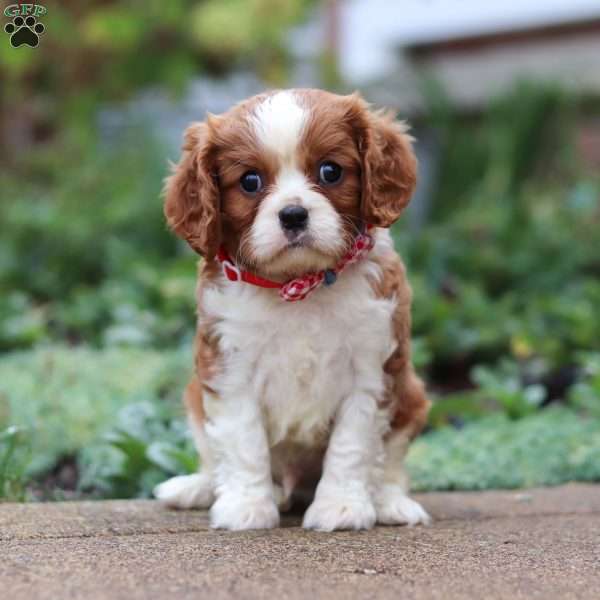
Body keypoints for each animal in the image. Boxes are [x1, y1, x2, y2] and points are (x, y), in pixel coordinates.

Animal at [152, 89, 428, 528]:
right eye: (250, 181)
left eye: (331, 171)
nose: (294, 214)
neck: (298, 284)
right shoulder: (230, 369)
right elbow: (243, 442)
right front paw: (246, 507)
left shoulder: (372, 372)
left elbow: (352, 446)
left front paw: (341, 507)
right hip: (194, 398)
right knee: (214, 460)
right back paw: (197, 488)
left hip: (412, 398)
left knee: (389, 467)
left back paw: (390, 503)